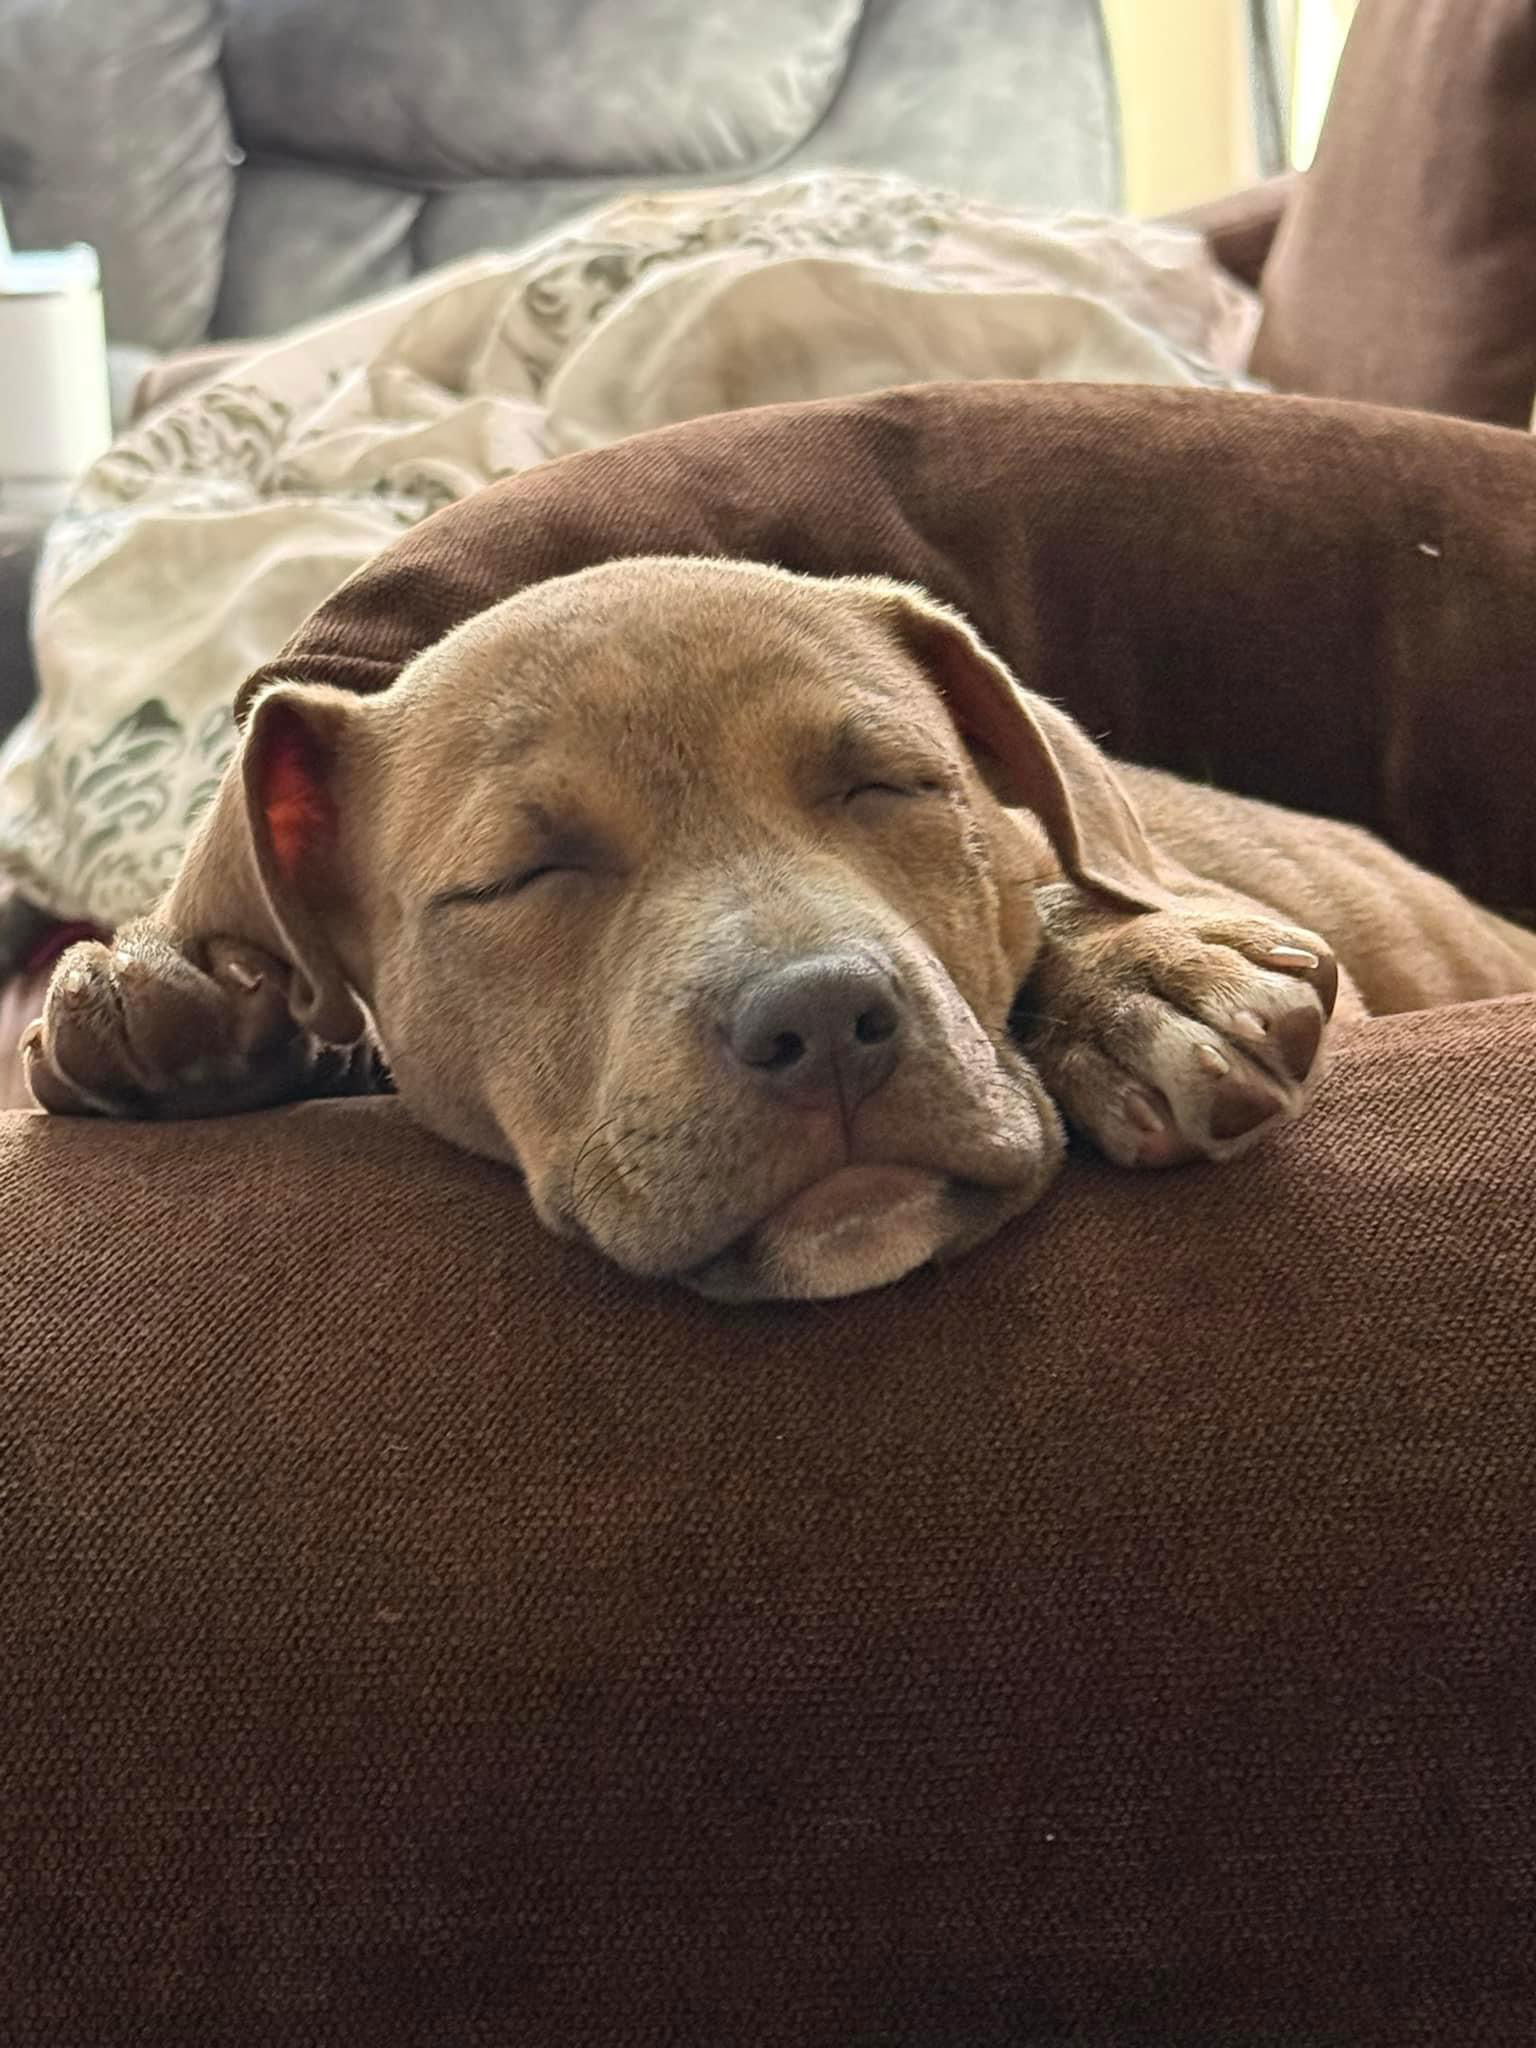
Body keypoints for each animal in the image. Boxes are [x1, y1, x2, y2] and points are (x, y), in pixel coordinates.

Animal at [18, 557, 1536, 1294]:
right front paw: (177, 1004)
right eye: (521, 875)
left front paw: (1138, 979)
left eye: (893, 783)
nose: (820, 1020)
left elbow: (1057, 886)